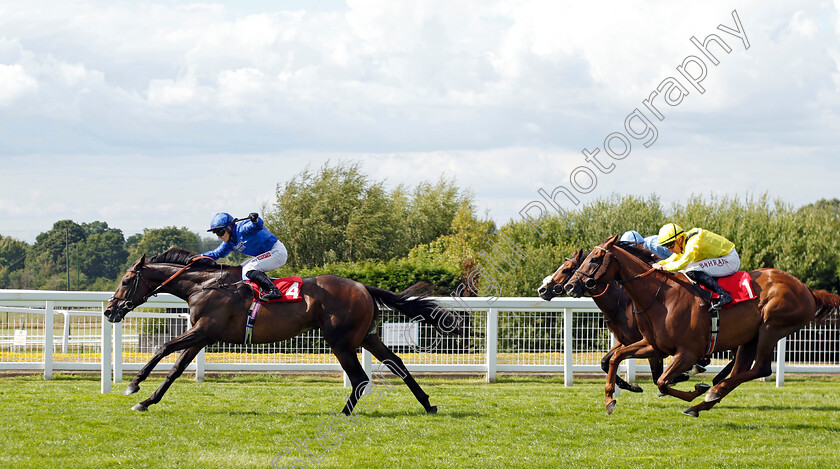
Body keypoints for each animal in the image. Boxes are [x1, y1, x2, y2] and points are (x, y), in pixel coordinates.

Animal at [105, 247, 462, 414]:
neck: (204, 285)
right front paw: (147, 400)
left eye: (126, 280)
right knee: (397, 364)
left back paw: (344, 413)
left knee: (360, 379)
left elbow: (162, 348)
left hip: (341, 341)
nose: (109, 310)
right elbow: (176, 368)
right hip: (367, 336)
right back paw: (428, 404)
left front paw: (133, 386)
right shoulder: (204, 334)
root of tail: (363, 286)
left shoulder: (204, 330)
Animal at [540, 247, 732, 412]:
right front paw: (629, 386)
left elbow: (656, 375)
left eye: (566, 270)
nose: (542, 290)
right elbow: (606, 362)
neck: (622, 303)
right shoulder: (627, 341)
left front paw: (678, 378)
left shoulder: (651, 345)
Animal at [564, 236, 840, 414]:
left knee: (760, 368)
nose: (569, 286)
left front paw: (697, 387)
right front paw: (610, 399)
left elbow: (662, 381)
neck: (659, 297)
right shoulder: (653, 345)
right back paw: (706, 400)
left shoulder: (687, 351)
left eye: (595, 259)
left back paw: (712, 391)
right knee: (741, 370)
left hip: (771, 328)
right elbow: (615, 358)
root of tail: (807, 290)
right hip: (749, 338)